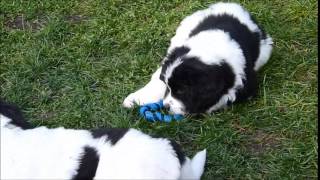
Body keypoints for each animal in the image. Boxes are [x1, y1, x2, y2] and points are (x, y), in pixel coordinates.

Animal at [122, 2, 272, 114]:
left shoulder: (245, 83)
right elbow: (159, 80)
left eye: (182, 91)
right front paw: (135, 99)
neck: (209, 47)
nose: (166, 107)